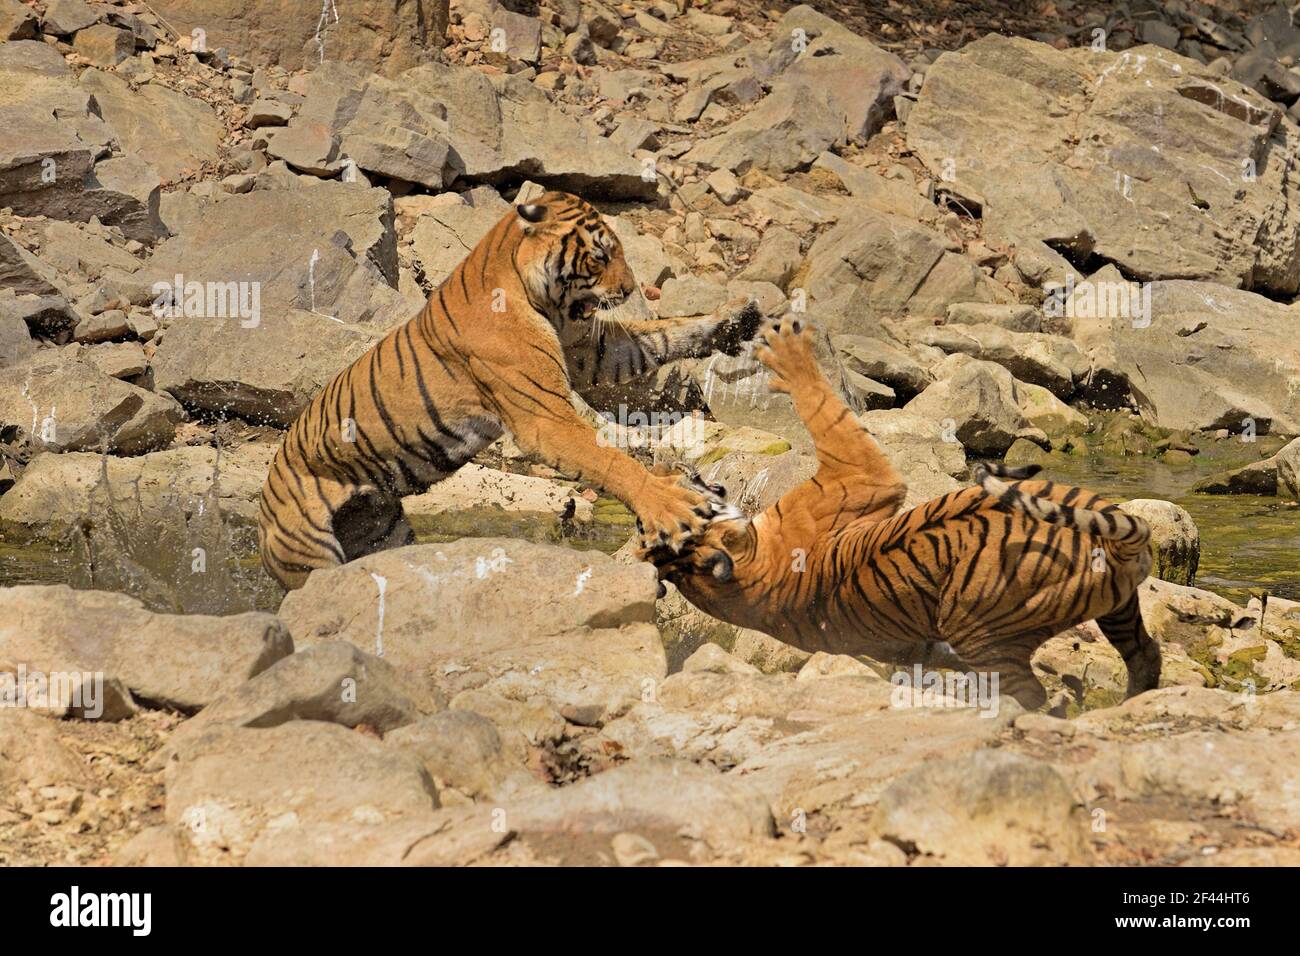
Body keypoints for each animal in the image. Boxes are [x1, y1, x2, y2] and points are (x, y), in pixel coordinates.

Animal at [258, 189, 759, 587]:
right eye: (600, 256)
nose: (632, 288)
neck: (537, 294)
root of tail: (267, 489)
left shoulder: (591, 353)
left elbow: (662, 334)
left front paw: (733, 319)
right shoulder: (545, 417)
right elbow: (610, 460)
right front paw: (670, 503)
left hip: (382, 532)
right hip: (308, 556)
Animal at [644, 317, 1164, 707]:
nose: (667, 466)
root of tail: (1121, 543)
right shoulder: (859, 475)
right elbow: (822, 406)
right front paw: (789, 352)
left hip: (1103, 588)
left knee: (1146, 653)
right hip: (988, 629)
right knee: (1034, 692)